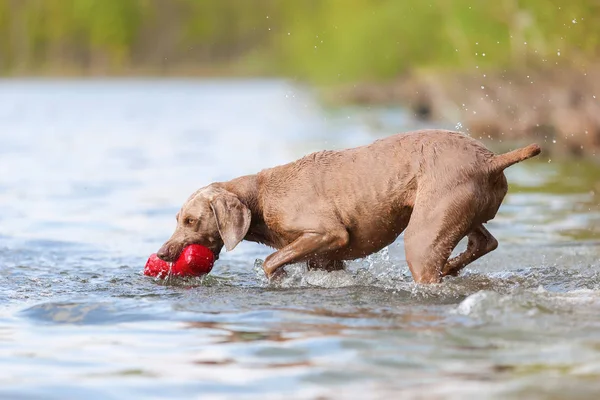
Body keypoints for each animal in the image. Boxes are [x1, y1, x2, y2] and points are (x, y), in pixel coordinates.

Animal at [157, 130, 540, 282]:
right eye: (176, 218)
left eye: (190, 221)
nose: (161, 253)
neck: (261, 196)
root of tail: (491, 160)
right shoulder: (327, 259)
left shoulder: (329, 234)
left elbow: (270, 261)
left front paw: (278, 277)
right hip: (459, 210)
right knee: (484, 241)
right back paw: (453, 267)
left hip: (423, 234)